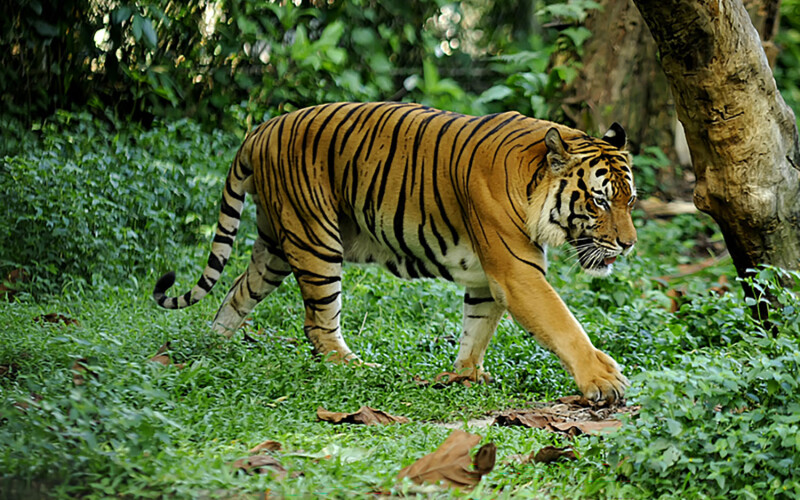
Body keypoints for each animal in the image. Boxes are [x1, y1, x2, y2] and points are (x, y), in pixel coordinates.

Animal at [153, 102, 637, 402]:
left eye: (630, 201)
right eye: (599, 201)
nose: (629, 244)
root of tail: (260, 129)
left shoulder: (488, 277)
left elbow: (476, 327)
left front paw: (466, 375)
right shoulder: (516, 272)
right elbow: (563, 324)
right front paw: (601, 379)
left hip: (275, 245)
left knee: (236, 294)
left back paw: (211, 349)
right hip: (315, 238)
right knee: (317, 324)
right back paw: (355, 367)